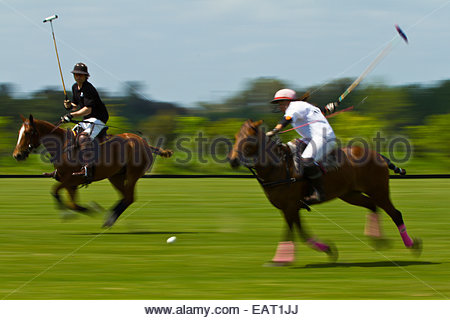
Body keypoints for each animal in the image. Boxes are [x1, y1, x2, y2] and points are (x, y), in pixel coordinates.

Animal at [13, 115, 173, 228]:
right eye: (19, 132)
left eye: (28, 132)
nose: (17, 155)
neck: (62, 145)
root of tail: (145, 143)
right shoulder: (70, 183)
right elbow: (70, 202)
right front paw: (73, 212)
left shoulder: (72, 179)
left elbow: (58, 193)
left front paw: (88, 210)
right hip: (115, 176)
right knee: (124, 196)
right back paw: (109, 217)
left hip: (132, 174)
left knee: (129, 198)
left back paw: (108, 219)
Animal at [229, 120, 422, 264]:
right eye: (236, 136)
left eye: (249, 138)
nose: (233, 161)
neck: (278, 167)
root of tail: (379, 155)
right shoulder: (289, 207)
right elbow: (302, 232)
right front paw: (328, 250)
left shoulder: (290, 206)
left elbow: (291, 232)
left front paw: (281, 260)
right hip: (350, 194)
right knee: (372, 205)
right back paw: (378, 239)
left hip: (378, 190)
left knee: (395, 213)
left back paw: (412, 245)